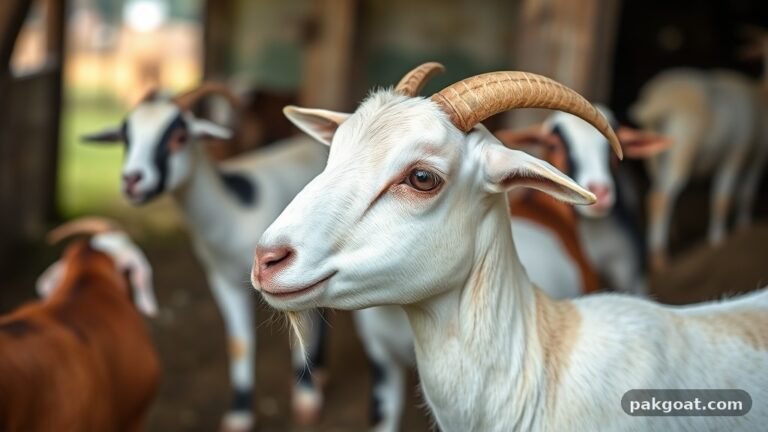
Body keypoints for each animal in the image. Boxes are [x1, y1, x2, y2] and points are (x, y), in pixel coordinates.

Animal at [82, 83, 330, 431]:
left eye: (179, 137)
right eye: (126, 138)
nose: (132, 181)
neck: (232, 210)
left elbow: (302, 331)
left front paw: (306, 401)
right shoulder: (222, 280)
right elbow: (239, 343)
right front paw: (239, 416)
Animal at [630, 69, 768, 270]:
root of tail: (660, 97)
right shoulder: (743, 157)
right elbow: (730, 197)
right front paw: (722, 238)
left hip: (653, 157)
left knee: (656, 197)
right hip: (683, 149)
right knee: (660, 197)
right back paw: (659, 257)